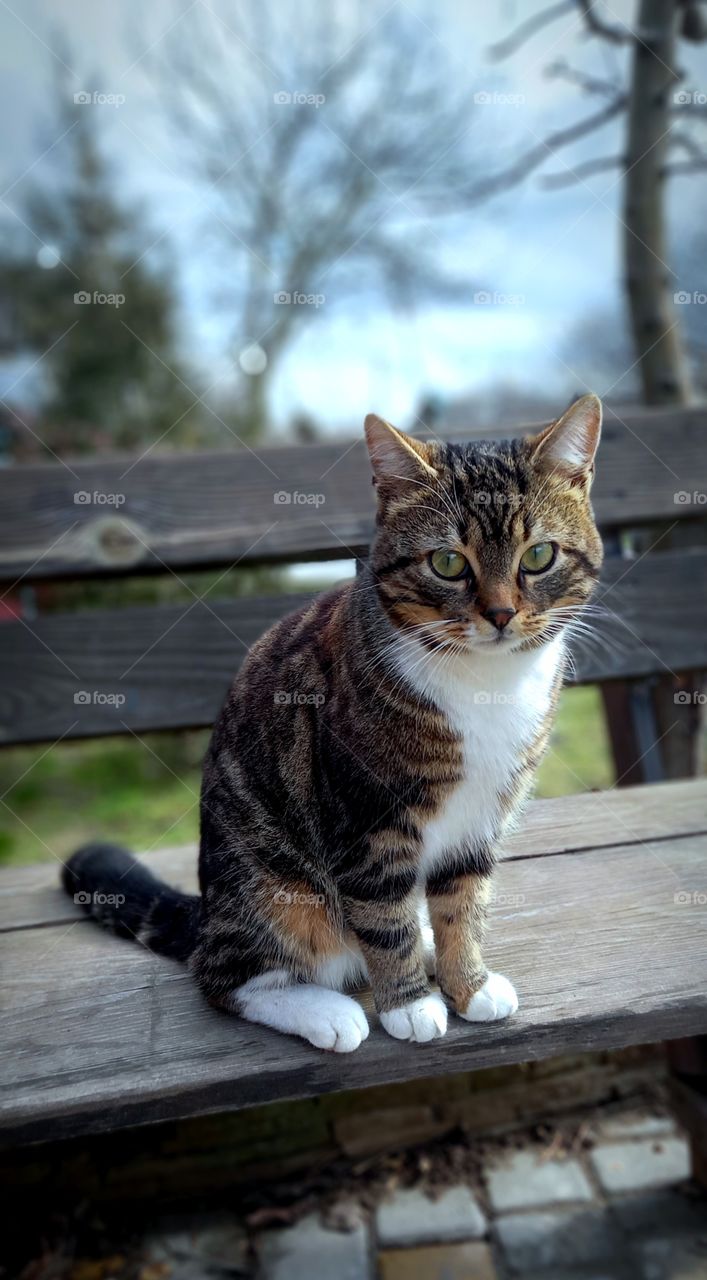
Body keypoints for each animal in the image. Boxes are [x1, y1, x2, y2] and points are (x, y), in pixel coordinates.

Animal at [65, 389, 601, 1049]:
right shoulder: (366, 818)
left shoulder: (480, 818)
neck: (485, 685)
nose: (500, 614)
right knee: (227, 975)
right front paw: (409, 1005)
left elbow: (463, 901)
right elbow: (383, 914)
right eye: (449, 562)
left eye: (540, 555)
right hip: (274, 889)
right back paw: (328, 1010)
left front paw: (467, 983)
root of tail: (208, 912)